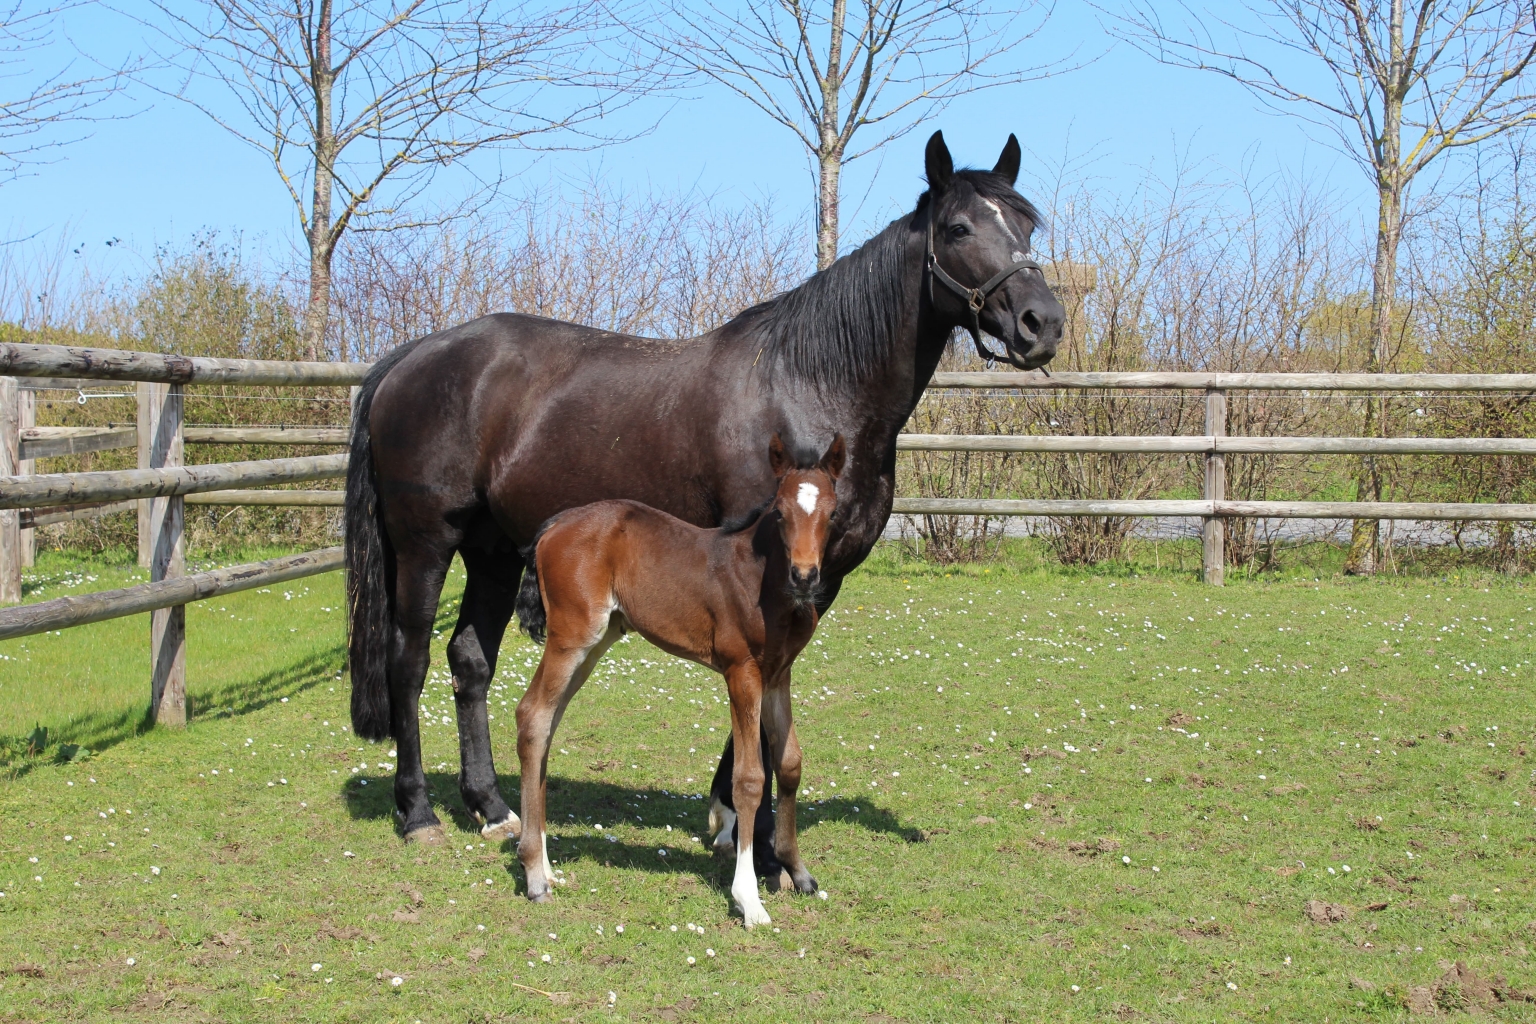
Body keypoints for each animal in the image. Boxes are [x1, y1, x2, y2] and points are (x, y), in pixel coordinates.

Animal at [342, 130, 1062, 859]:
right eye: (959, 228)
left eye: (1027, 225)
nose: (1044, 323)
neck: (809, 385)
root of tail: (407, 359)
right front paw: (755, 833)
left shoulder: (819, 576)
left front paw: (732, 819)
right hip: (427, 543)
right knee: (410, 660)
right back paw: (418, 812)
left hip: (491, 550)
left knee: (470, 662)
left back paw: (491, 806)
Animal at [513, 436, 841, 927]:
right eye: (781, 512)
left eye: (833, 513)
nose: (805, 576)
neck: (760, 578)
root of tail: (553, 526)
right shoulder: (742, 671)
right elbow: (749, 779)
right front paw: (748, 899)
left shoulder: (778, 674)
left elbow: (789, 764)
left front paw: (797, 872)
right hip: (573, 636)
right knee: (533, 716)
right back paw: (535, 876)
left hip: (596, 642)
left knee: (547, 721)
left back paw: (548, 868)